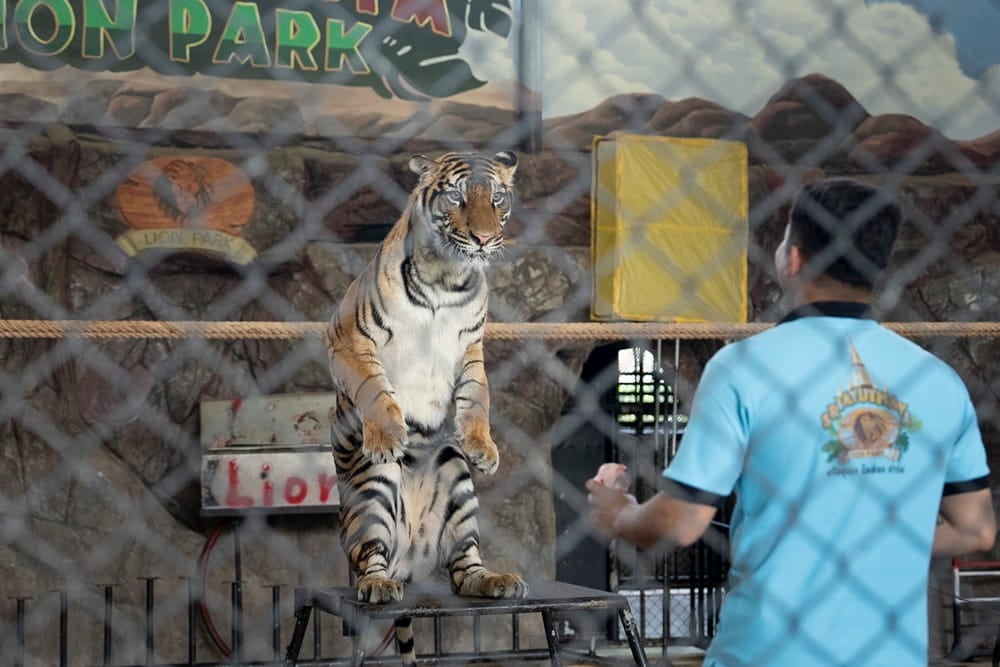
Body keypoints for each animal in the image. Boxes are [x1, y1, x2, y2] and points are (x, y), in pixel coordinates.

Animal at [325, 150, 527, 664]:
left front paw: (484, 447)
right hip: (373, 496)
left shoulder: (471, 346)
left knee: (462, 570)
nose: (483, 238)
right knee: (369, 557)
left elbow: (477, 398)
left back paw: (496, 580)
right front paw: (387, 434)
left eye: (497, 199)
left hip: (457, 484)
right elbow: (374, 388)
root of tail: (408, 565)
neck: (446, 279)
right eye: (456, 198)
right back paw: (378, 585)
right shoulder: (348, 336)